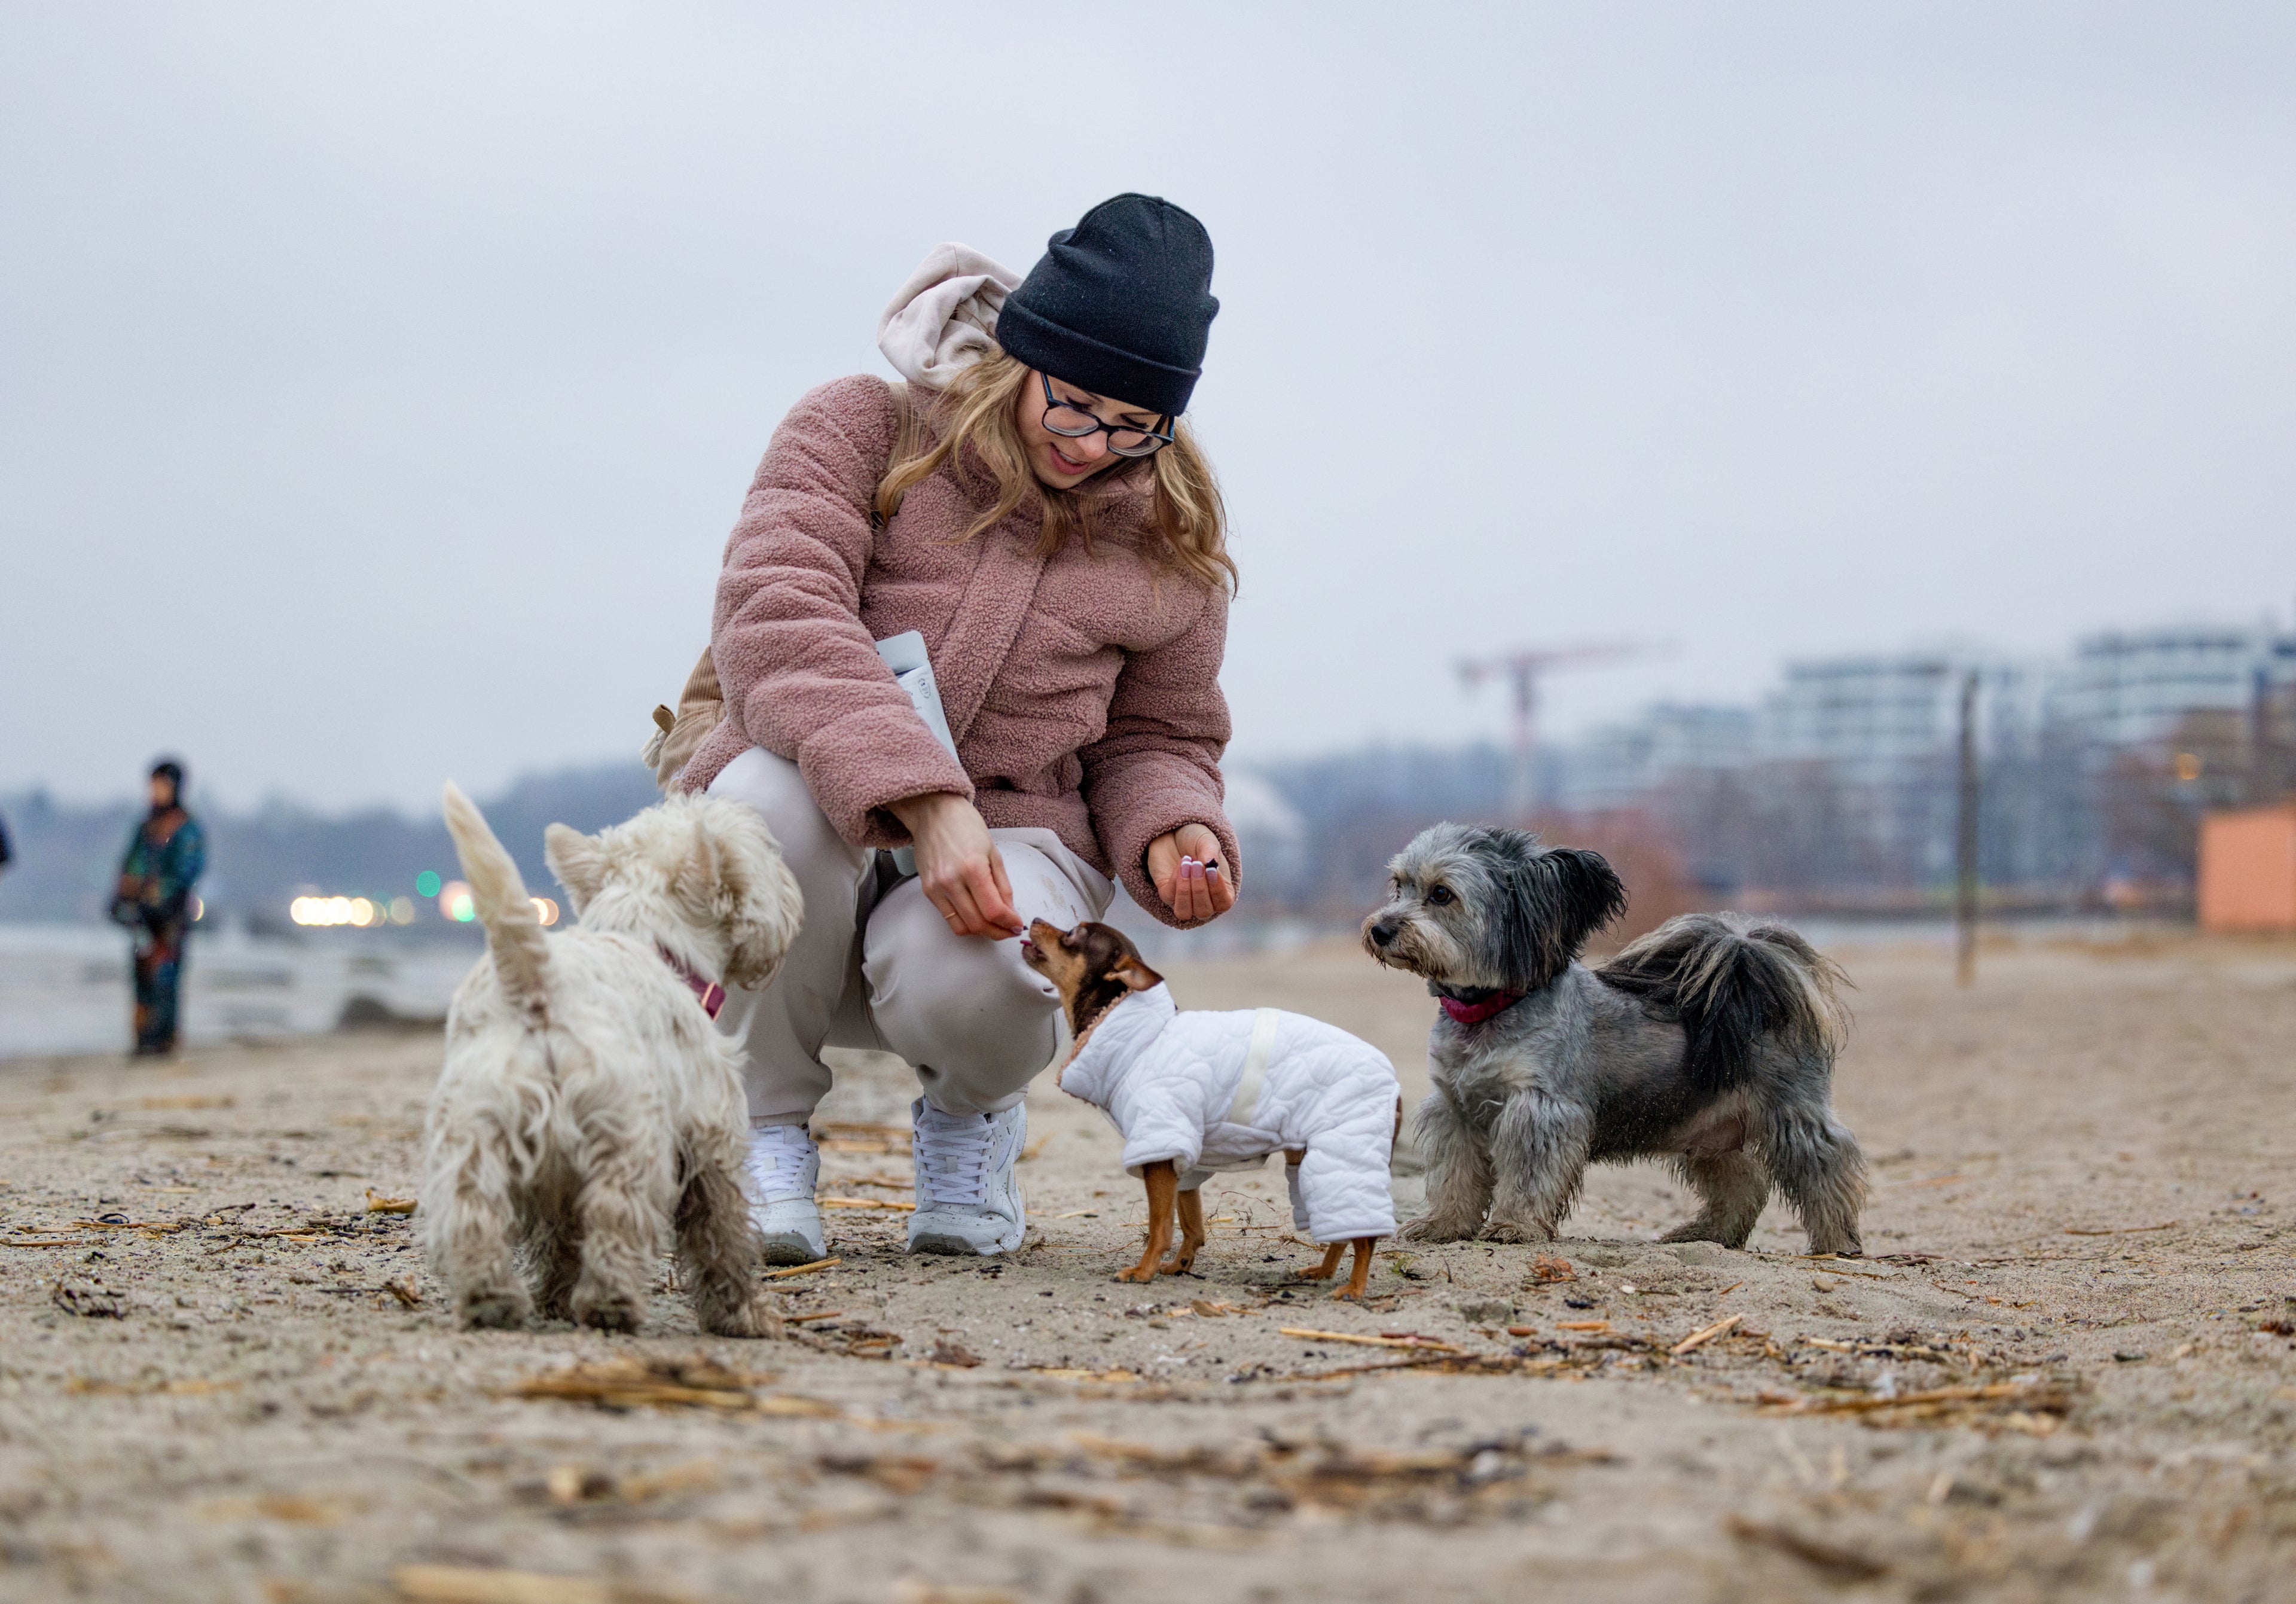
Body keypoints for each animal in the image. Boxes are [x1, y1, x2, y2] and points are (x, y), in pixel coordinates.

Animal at [422, 781, 808, 1332]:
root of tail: (538, 985)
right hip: (625, 1130)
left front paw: (555, 1298)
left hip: (476, 1130)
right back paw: (611, 1304)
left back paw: (491, 1298)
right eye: (761, 856)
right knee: (616, 1214)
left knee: (472, 1210)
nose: (795, 895)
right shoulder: (707, 1133)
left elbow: (561, 1238)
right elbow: (721, 1234)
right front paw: (744, 1314)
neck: (653, 944)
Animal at [1359, 822, 1864, 1250]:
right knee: (1745, 1184)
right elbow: (1454, 1177)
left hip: (1793, 1118)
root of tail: (1750, 978)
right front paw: (1445, 1224)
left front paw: (1514, 1226)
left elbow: (1527, 1177)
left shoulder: (1539, 1111)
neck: (1490, 1008)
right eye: (1399, 885)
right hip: (1708, 1131)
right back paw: (1709, 1235)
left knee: (1828, 1171)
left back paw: (1836, 1242)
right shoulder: (1456, 1111)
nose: (1380, 929)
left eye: (1442, 894)